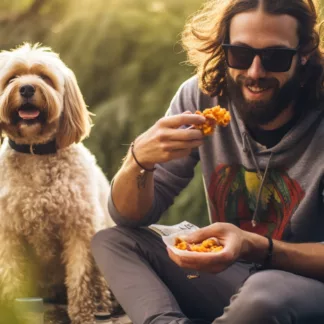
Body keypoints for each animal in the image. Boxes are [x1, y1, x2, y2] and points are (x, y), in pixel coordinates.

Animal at [0, 43, 119, 324]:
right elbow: (10, 276)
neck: (35, 152)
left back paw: (102, 306)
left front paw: (83, 315)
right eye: (11, 78)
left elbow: (80, 277)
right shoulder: (8, 233)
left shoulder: (78, 228)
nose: (27, 88)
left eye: (44, 78)